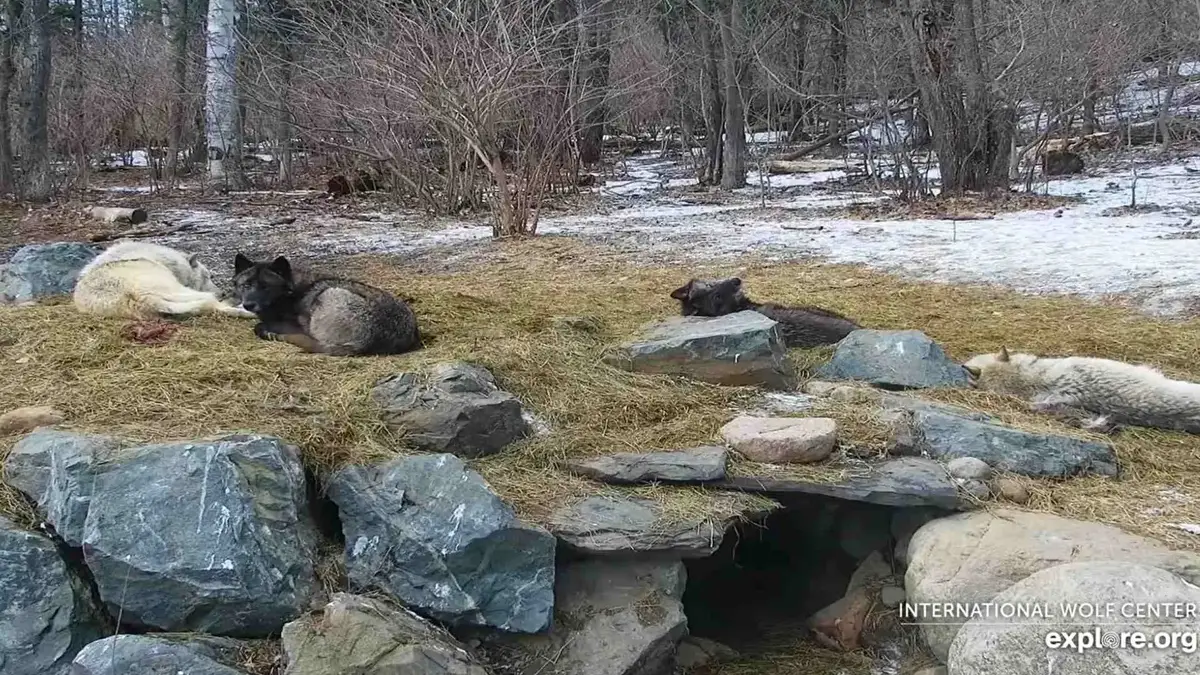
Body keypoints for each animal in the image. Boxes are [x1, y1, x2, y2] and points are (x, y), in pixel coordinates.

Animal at [230, 253, 420, 356]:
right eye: (246, 285)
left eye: (265, 287)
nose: (248, 305)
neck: (290, 293)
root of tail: (366, 342)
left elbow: (259, 325)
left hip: (329, 293)